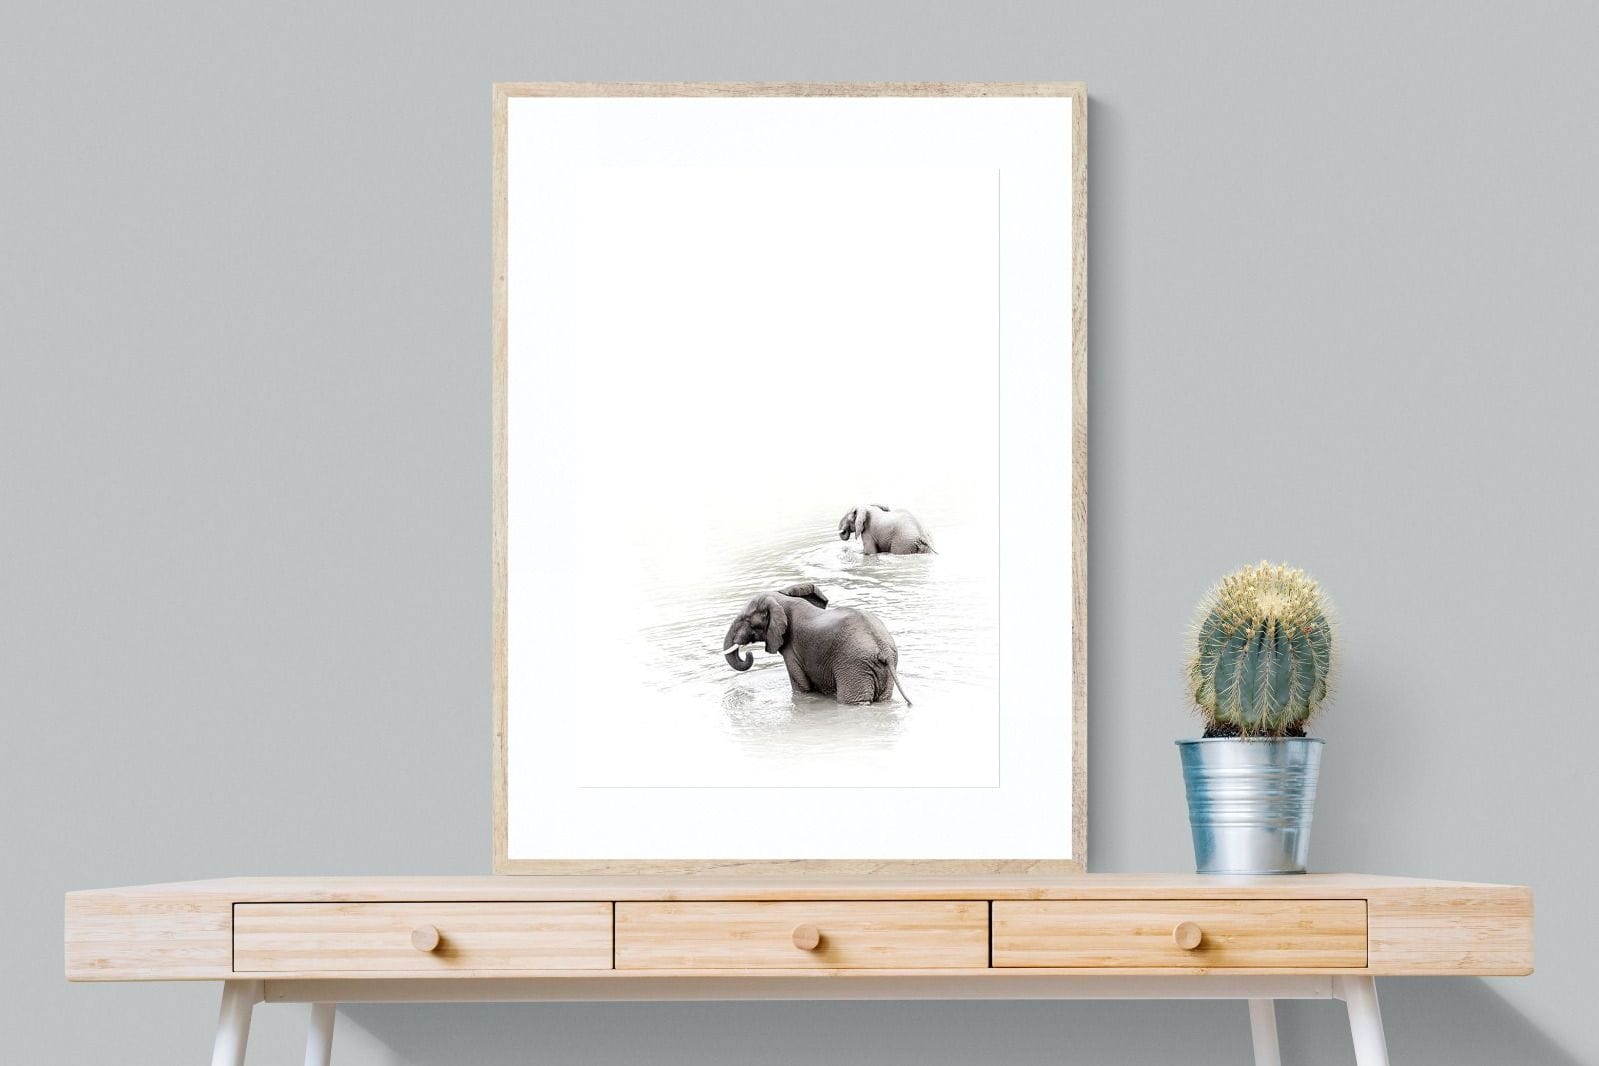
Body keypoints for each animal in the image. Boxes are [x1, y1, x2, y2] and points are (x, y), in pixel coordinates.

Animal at [722, 582, 912, 705]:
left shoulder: (792, 649)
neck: (783, 598)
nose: (748, 653)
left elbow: (801, 687)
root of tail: (883, 649)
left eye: (746, 620)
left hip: (854, 666)